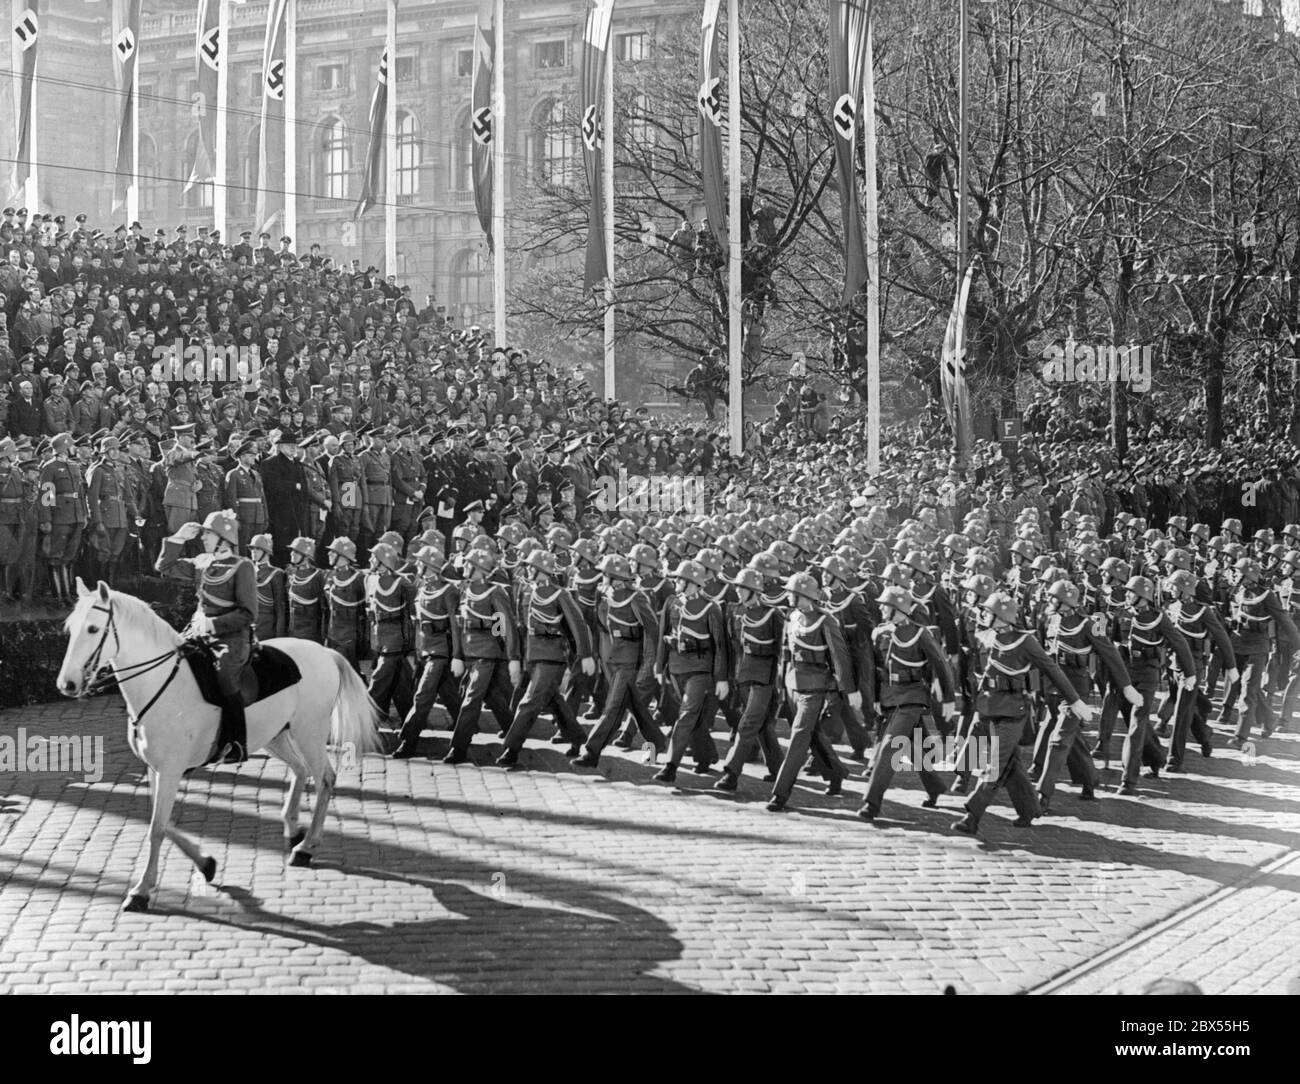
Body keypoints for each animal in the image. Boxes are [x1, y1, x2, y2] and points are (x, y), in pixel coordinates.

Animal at [57, 579, 379, 909]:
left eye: (93, 628)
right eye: (71, 628)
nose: (66, 684)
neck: (162, 683)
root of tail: (325, 652)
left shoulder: (170, 770)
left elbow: (157, 828)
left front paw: (142, 890)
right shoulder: (155, 770)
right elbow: (163, 823)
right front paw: (206, 863)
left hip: (309, 731)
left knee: (325, 777)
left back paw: (306, 847)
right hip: (274, 734)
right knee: (301, 770)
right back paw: (292, 830)